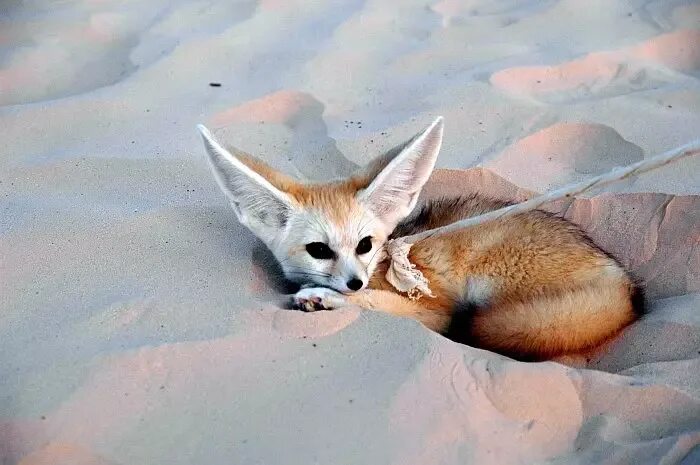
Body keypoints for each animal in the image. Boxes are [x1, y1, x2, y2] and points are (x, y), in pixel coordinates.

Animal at [196, 116, 640, 358]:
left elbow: (383, 306)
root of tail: (622, 281)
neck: (382, 266)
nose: (354, 282)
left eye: (365, 245)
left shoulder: (433, 309)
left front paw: (327, 299)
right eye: (319, 250)